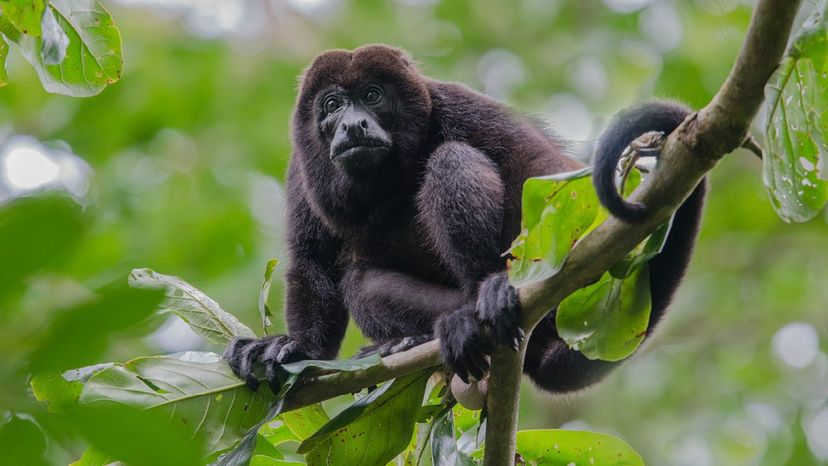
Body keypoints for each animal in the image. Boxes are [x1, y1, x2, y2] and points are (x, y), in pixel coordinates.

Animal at [225, 44, 704, 394]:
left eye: (372, 96)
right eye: (332, 105)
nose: (353, 125)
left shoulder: (458, 104)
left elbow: (538, 167)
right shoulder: (301, 167)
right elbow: (313, 261)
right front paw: (294, 348)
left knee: (452, 159)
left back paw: (485, 295)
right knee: (361, 282)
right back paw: (422, 337)